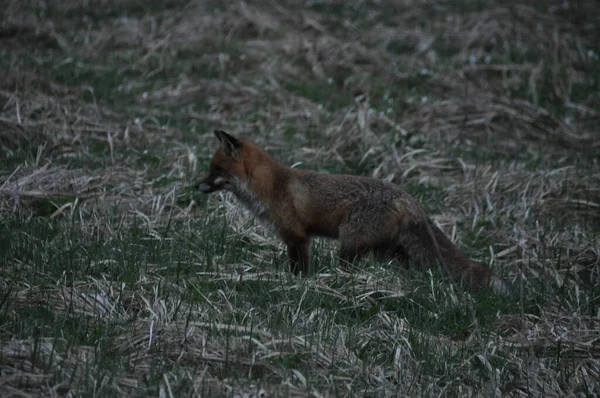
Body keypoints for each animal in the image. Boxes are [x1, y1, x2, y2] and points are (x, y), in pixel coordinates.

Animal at [197, 129, 510, 294]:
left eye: (216, 169)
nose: (195, 185)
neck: (272, 187)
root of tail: (408, 198)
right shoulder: (293, 238)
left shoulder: (297, 237)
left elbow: (300, 269)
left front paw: (299, 285)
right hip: (391, 252)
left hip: (350, 246)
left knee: (349, 267)